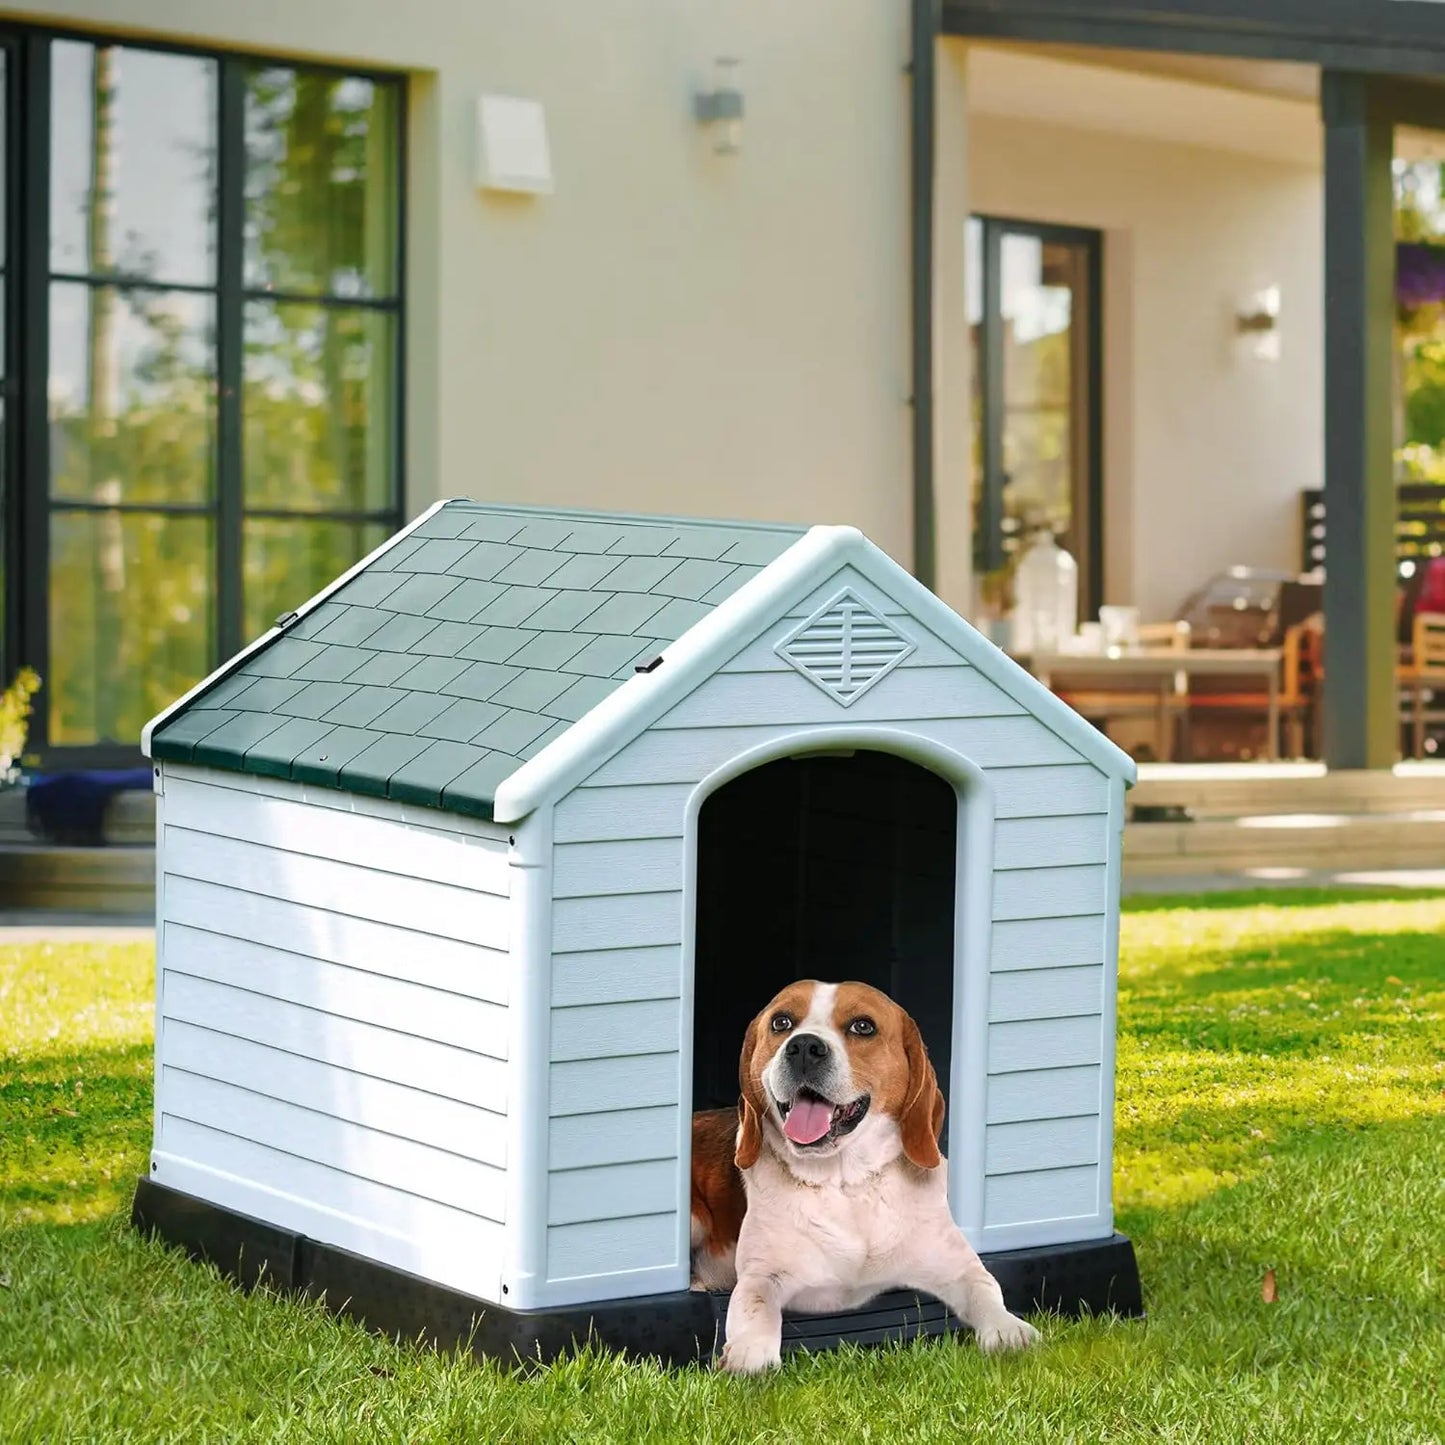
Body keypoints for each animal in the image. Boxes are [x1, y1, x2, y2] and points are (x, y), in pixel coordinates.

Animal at [687, 976, 1040, 1369]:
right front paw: (750, 1352)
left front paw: (1007, 1329)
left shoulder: (957, 1265)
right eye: (781, 1022)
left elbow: (985, 1287)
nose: (804, 1047)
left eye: (863, 1026)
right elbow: (755, 1303)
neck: (846, 1184)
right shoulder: (763, 1274)